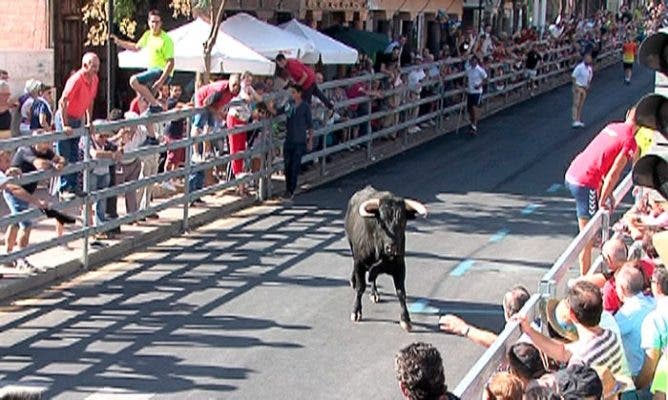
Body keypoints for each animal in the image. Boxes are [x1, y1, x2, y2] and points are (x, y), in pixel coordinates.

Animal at [344, 187, 428, 332]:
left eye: (402, 221)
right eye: (381, 221)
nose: (392, 247)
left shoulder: (400, 267)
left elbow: (401, 293)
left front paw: (406, 319)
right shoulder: (360, 263)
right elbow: (360, 288)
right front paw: (356, 312)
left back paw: (374, 293)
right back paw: (353, 280)